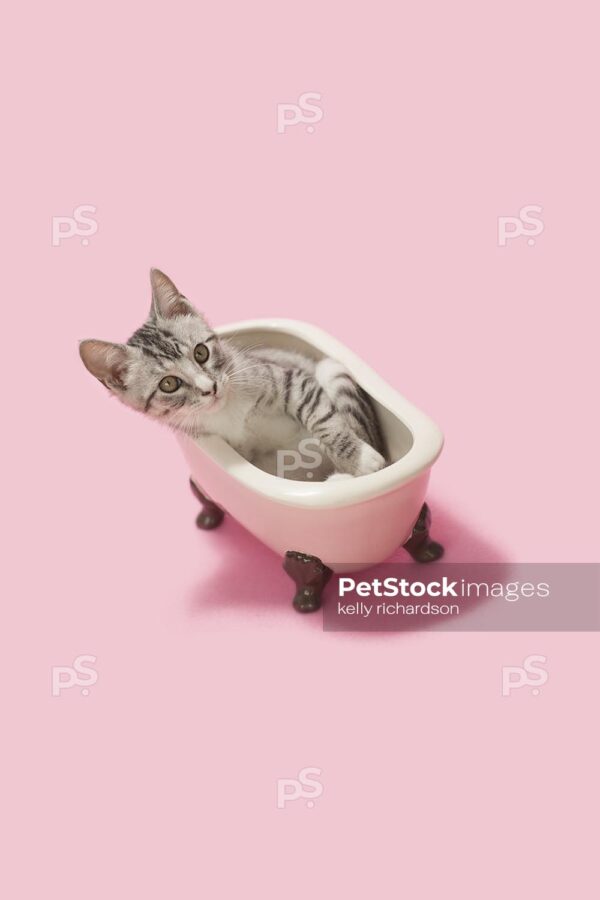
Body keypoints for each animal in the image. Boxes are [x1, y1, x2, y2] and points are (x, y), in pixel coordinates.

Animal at [79, 268, 386, 482]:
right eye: (169, 384)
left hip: (330, 368)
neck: (228, 409)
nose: (210, 388)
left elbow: (325, 420)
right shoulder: (245, 452)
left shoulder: (289, 379)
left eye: (201, 353)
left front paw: (360, 460)